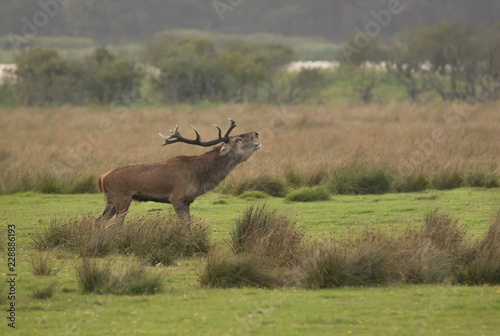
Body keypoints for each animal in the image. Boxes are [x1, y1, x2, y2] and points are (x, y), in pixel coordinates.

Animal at [97, 119, 262, 226]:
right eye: (237, 139)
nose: (256, 133)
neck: (199, 177)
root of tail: (102, 178)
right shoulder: (177, 197)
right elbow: (185, 226)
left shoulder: (187, 201)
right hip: (121, 198)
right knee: (115, 225)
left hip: (110, 201)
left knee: (99, 221)